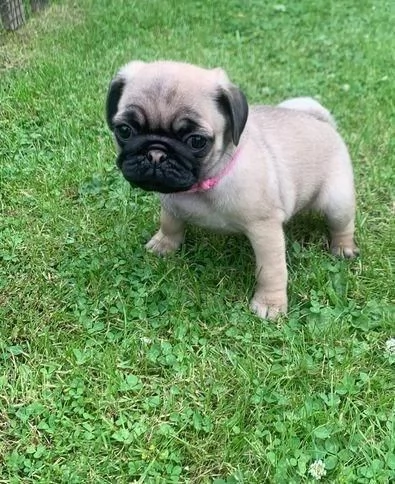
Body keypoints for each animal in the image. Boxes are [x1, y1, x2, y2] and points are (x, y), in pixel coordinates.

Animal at [106, 60, 358, 320]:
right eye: (124, 130)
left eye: (196, 141)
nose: (156, 153)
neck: (201, 185)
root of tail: (322, 121)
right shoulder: (171, 204)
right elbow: (170, 224)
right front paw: (164, 244)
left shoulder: (264, 229)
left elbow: (271, 271)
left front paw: (270, 304)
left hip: (337, 201)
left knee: (342, 224)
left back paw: (343, 248)